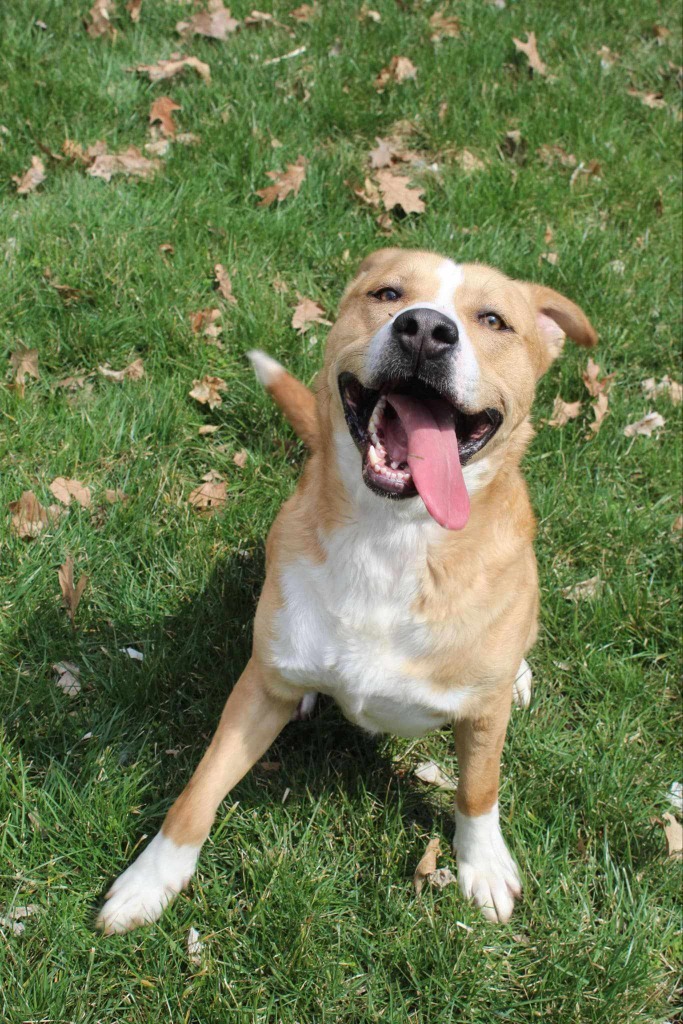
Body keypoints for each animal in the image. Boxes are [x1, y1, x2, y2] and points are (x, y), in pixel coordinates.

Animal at [97, 249, 598, 937]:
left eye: (494, 319)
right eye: (387, 294)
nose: (425, 330)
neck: (392, 541)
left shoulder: (481, 720)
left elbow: (478, 788)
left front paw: (484, 865)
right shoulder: (256, 692)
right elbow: (199, 789)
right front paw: (150, 881)